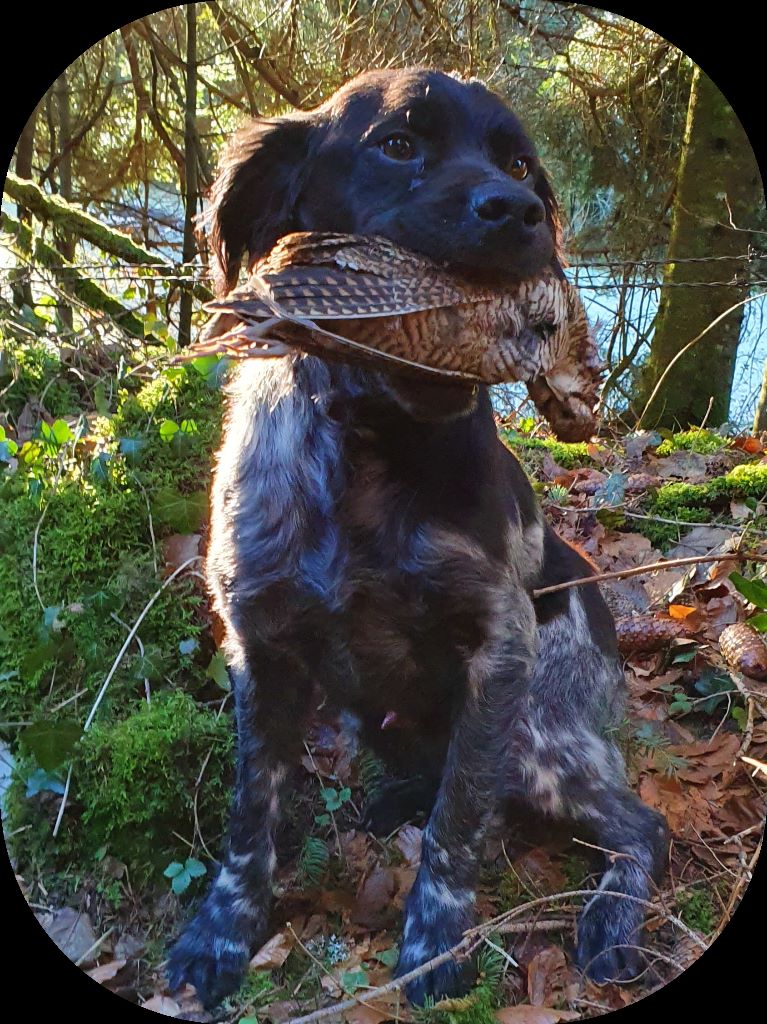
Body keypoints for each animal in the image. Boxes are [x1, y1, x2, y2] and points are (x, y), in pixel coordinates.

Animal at [165, 70, 663, 1007]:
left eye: (519, 162)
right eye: (397, 144)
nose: (517, 213)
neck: (367, 440)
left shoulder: (498, 648)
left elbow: (459, 823)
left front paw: (435, 945)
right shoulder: (261, 645)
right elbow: (252, 815)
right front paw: (219, 935)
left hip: (542, 735)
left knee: (635, 823)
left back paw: (610, 922)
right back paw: (399, 798)